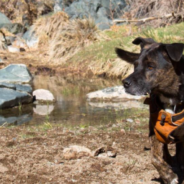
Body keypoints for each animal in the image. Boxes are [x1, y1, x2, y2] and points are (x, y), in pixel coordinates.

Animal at [115, 37, 184, 183]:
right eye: (135, 65)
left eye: (150, 66)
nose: (125, 83)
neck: (171, 98)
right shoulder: (155, 130)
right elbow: (154, 158)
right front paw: (169, 176)